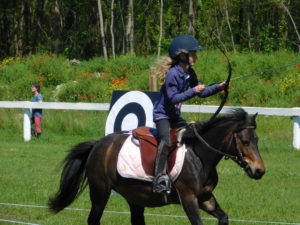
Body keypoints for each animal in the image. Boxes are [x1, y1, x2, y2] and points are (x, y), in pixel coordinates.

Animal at [47, 108, 264, 224]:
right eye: (245, 142)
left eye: (257, 140)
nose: (260, 170)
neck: (200, 156)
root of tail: (99, 144)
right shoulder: (189, 199)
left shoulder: (205, 197)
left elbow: (223, 217)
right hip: (100, 192)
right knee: (93, 219)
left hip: (134, 196)